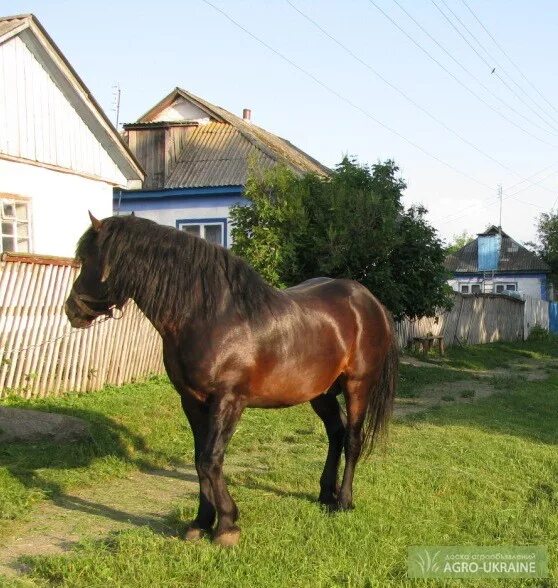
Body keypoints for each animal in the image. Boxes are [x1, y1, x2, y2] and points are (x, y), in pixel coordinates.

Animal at [64, 212, 398, 548]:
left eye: (87, 259)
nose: (71, 309)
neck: (210, 317)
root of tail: (370, 302)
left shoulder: (229, 401)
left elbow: (211, 459)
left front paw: (226, 525)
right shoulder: (192, 401)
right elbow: (199, 459)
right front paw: (200, 522)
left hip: (358, 386)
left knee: (353, 439)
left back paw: (343, 501)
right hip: (321, 393)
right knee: (336, 433)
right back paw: (325, 495)